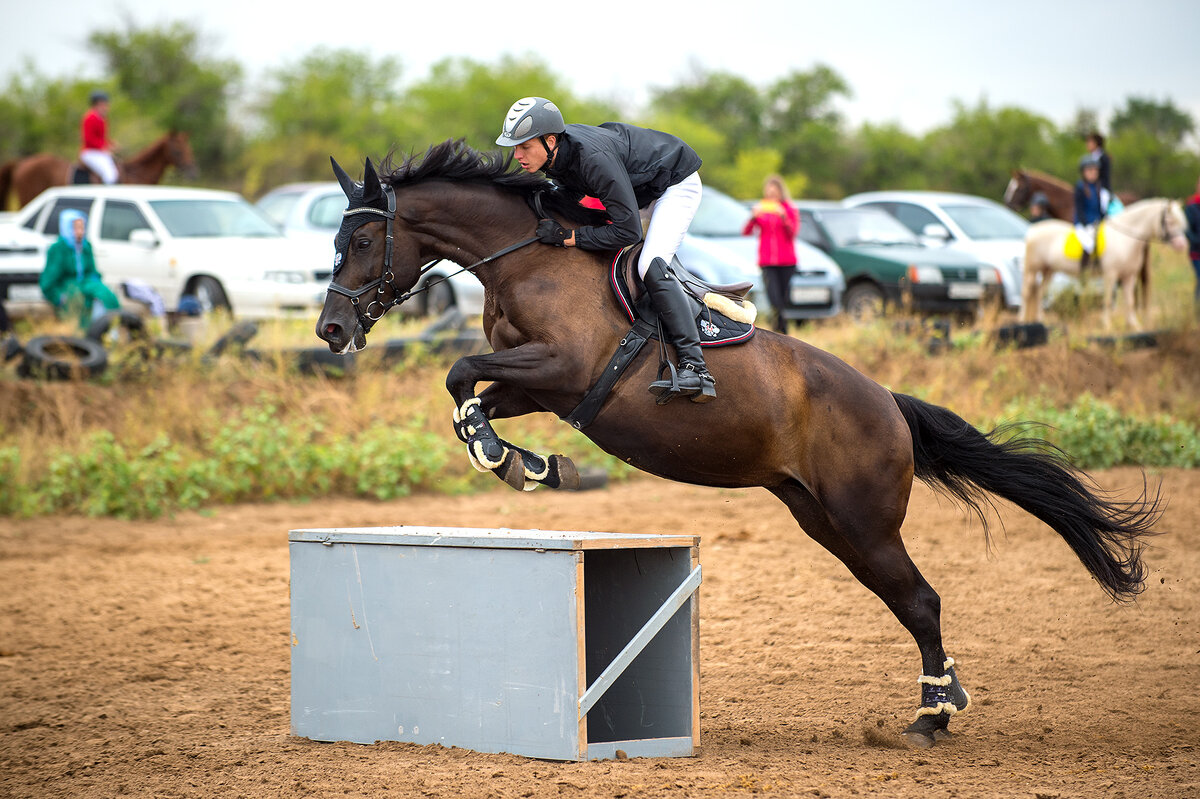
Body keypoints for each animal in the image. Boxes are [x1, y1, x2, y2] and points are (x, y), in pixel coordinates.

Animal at [0, 130, 195, 208]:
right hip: (28, 197)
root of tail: (21, 162)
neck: (136, 174)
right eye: (177, 151)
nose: (192, 171)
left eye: (189, 149)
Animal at [316, 141, 1161, 748]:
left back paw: (932, 717)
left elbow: (460, 370)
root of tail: (888, 402)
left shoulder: (563, 367)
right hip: (824, 520)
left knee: (921, 599)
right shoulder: (542, 385)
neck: (529, 254)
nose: (330, 329)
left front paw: (513, 461)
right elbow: (470, 390)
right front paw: (523, 462)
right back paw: (937, 703)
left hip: (863, 520)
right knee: (906, 599)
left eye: (363, 237)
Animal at [1022, 197, 1190, 328]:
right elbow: (1108, 300)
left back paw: (1040, 320)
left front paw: (1134, 325)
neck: (1125, 239)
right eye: (1169, 221)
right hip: (1032, 269)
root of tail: (1032, 229)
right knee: (1027, 293)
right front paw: (1106, 325)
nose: (1182, 245)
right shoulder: (1111, 274)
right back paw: (1022, 320)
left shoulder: (1129, 276)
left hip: (1048, 270)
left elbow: (1130, 301)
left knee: (1039, 293)